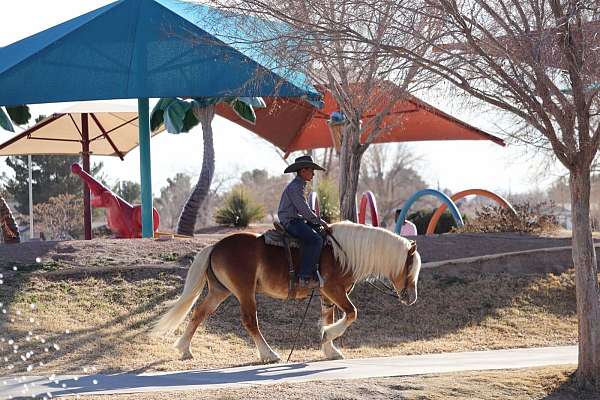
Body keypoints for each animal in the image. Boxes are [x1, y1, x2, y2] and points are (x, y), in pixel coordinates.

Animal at [151, 222, 422, 362]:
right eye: (410, 267)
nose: (412, 298)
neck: (342, 253)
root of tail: (216, 245)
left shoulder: (326, 295)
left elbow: (330, 316)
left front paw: (329, 349)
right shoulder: (334, 290)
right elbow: (351, 314)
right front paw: (328, 337)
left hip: (219, 291)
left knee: (199, 313)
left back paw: (184, 348)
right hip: (244, 291)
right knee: (250, 321)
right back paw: (269, 354)